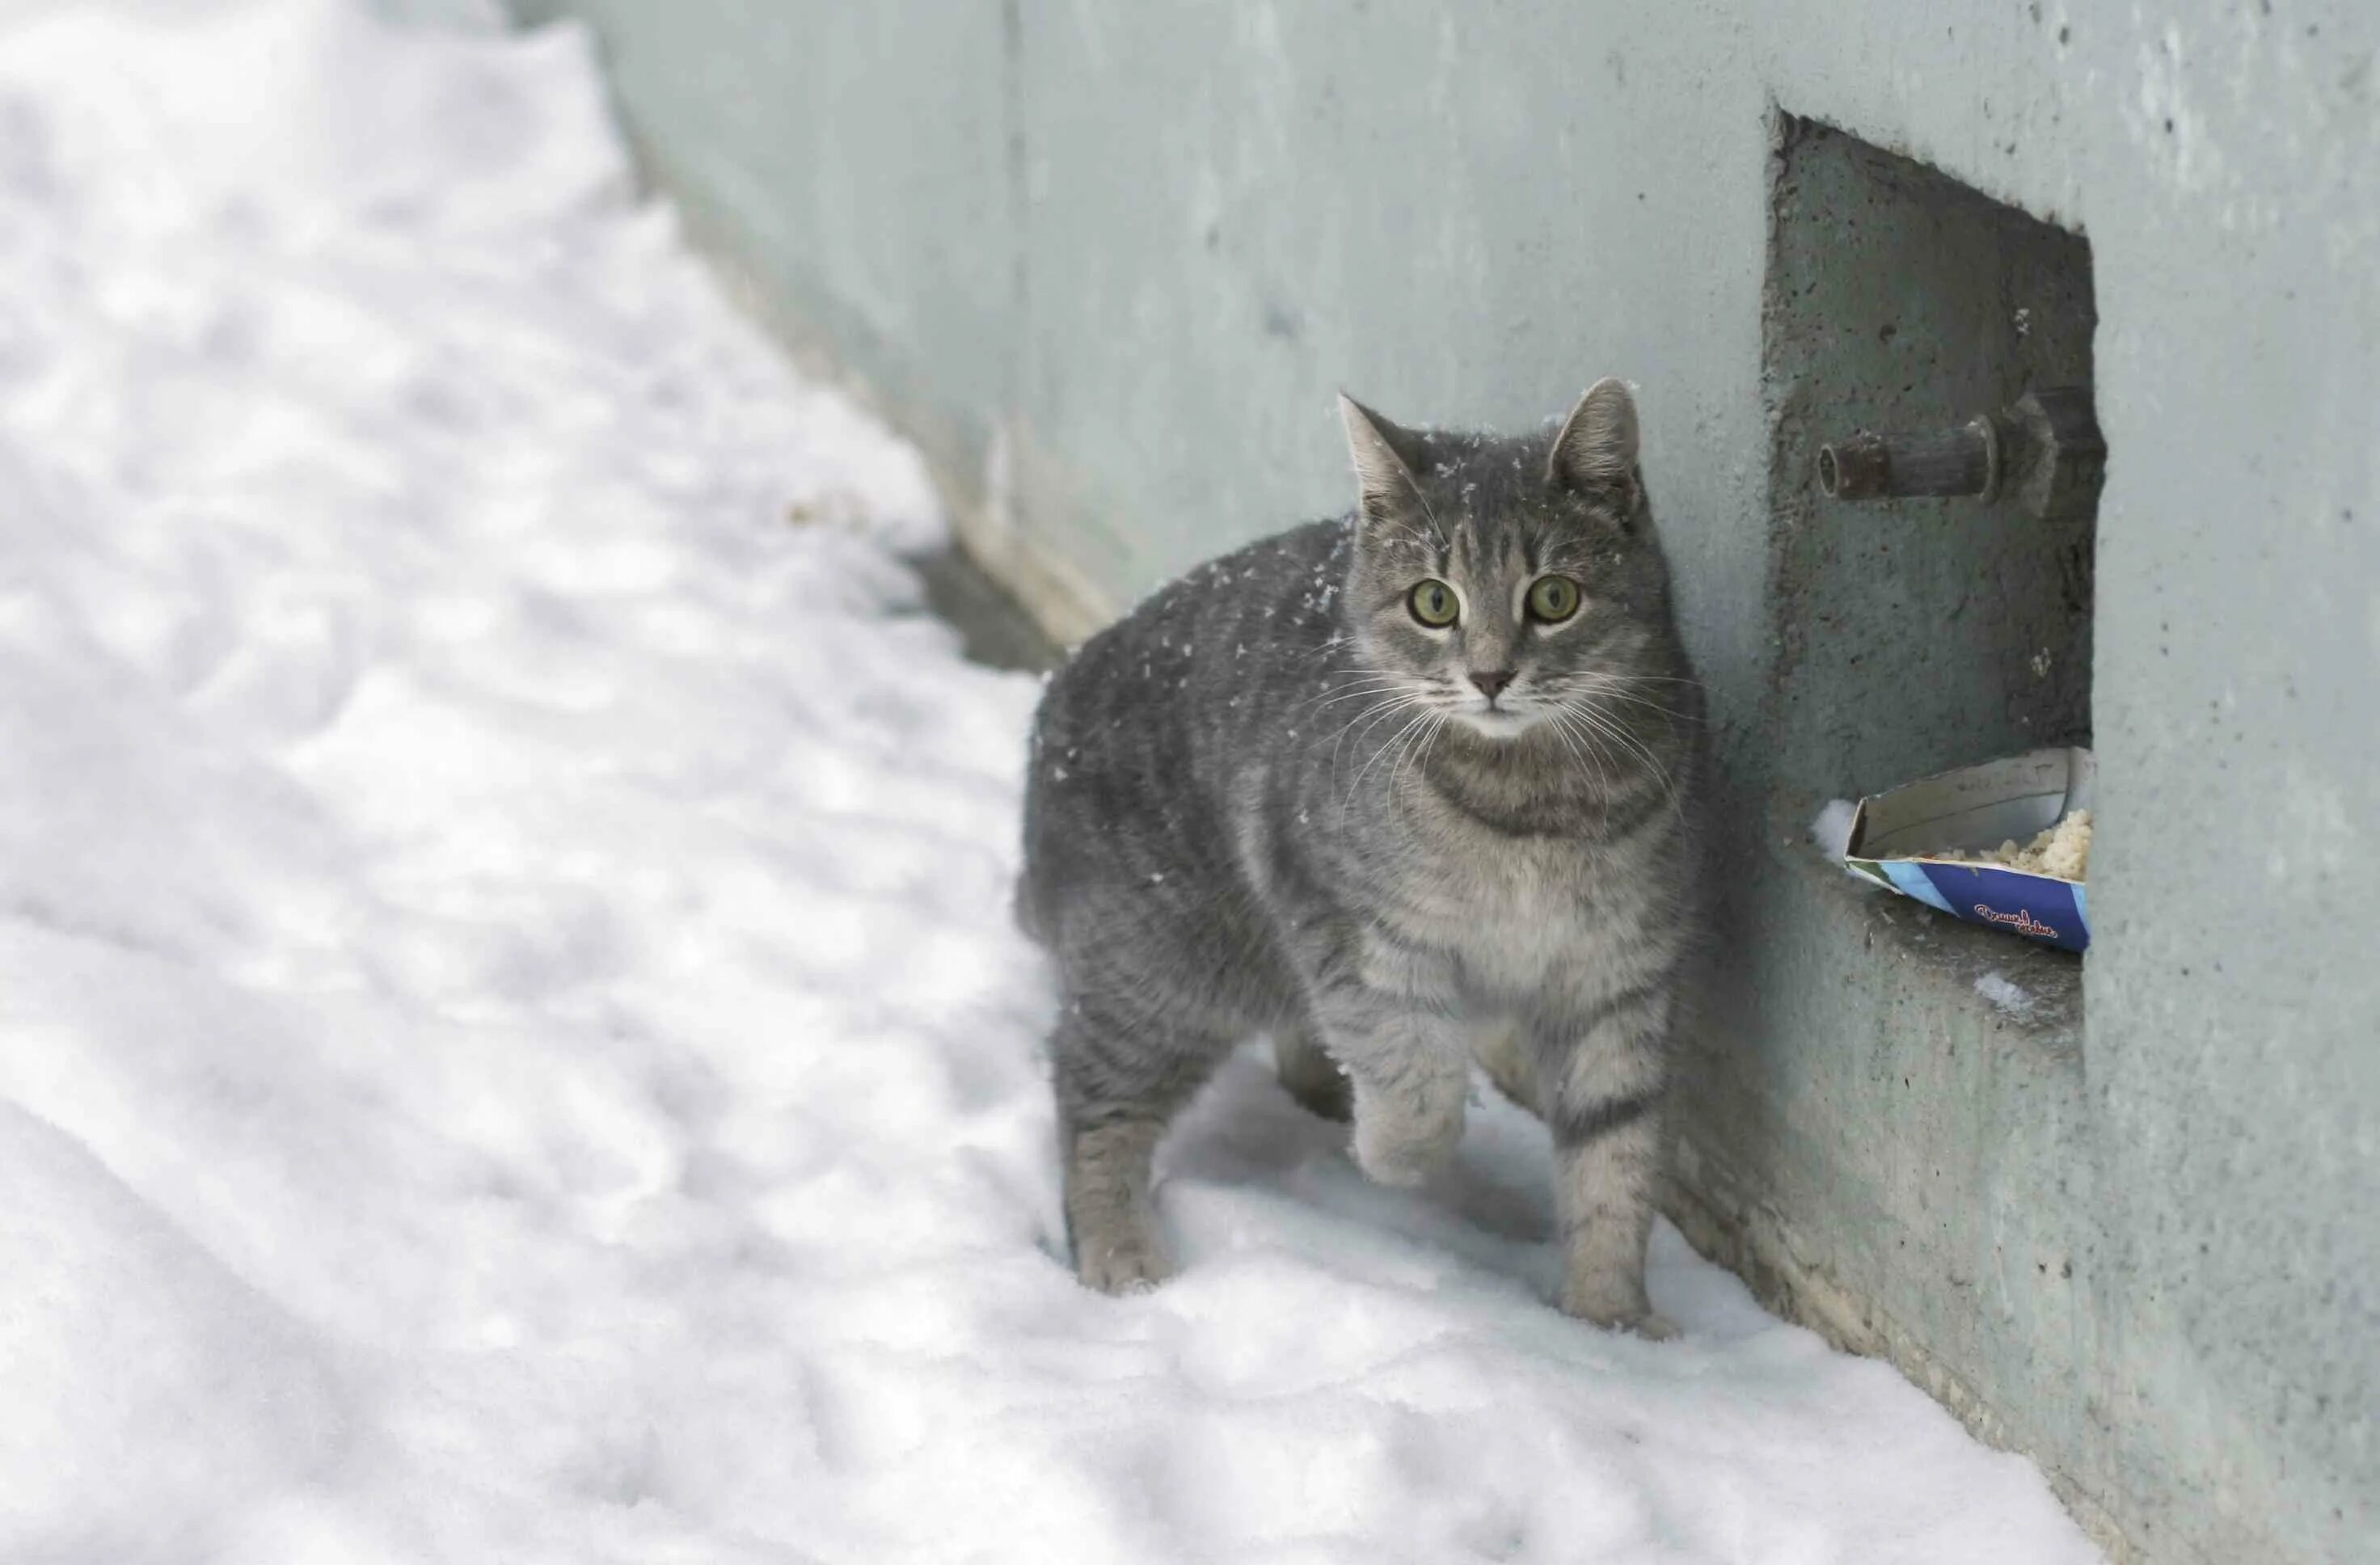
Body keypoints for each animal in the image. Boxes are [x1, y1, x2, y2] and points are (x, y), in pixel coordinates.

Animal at [1014, 378, 1703, 1331]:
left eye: (1555, 597)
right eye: (1434, 603)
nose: (1492, 676)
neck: (1532, 803)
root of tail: (1057, 698)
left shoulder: (1617, 978)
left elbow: (1616, 1158)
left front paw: (1611, 1323)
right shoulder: (1350, 932)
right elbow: (1415, 1079)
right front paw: (1393, 1157)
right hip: (1157, 979)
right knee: (1090, 1102)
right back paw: (1123, 1256)